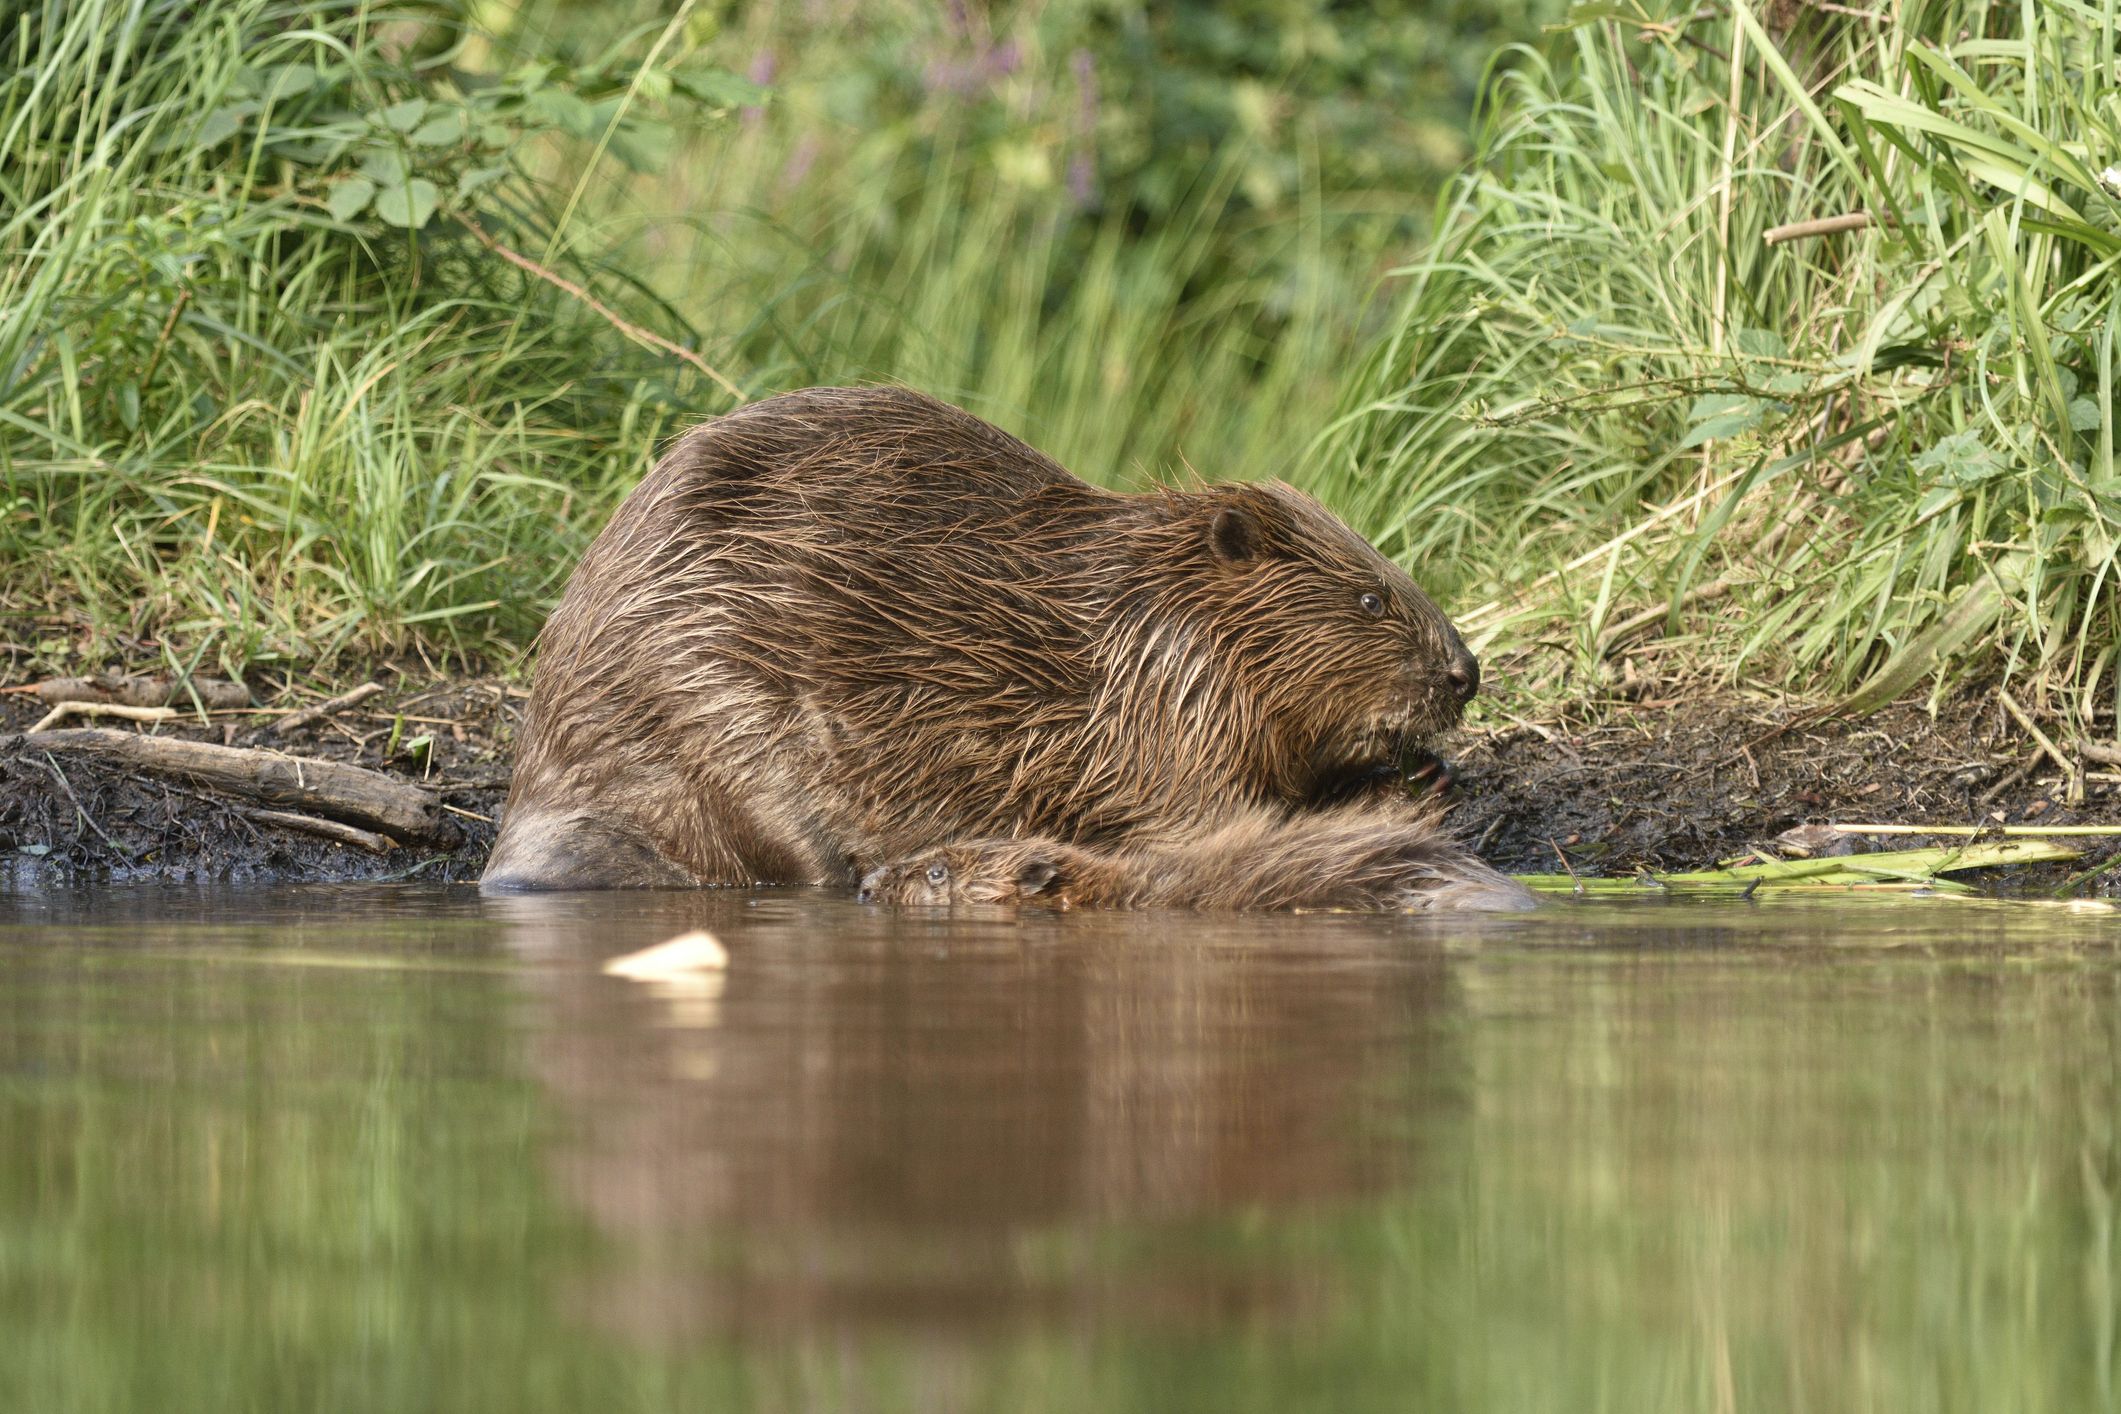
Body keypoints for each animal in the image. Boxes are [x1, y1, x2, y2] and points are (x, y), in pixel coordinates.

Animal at [487, 387, 1493, 890]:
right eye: (1369, 599)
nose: (1466, 672)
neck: (1145, 610)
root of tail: (531, 814)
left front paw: (1427, 769)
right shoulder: (1167, 709)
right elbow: (1217, 815)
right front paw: (1401, 792)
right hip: (705, 701)